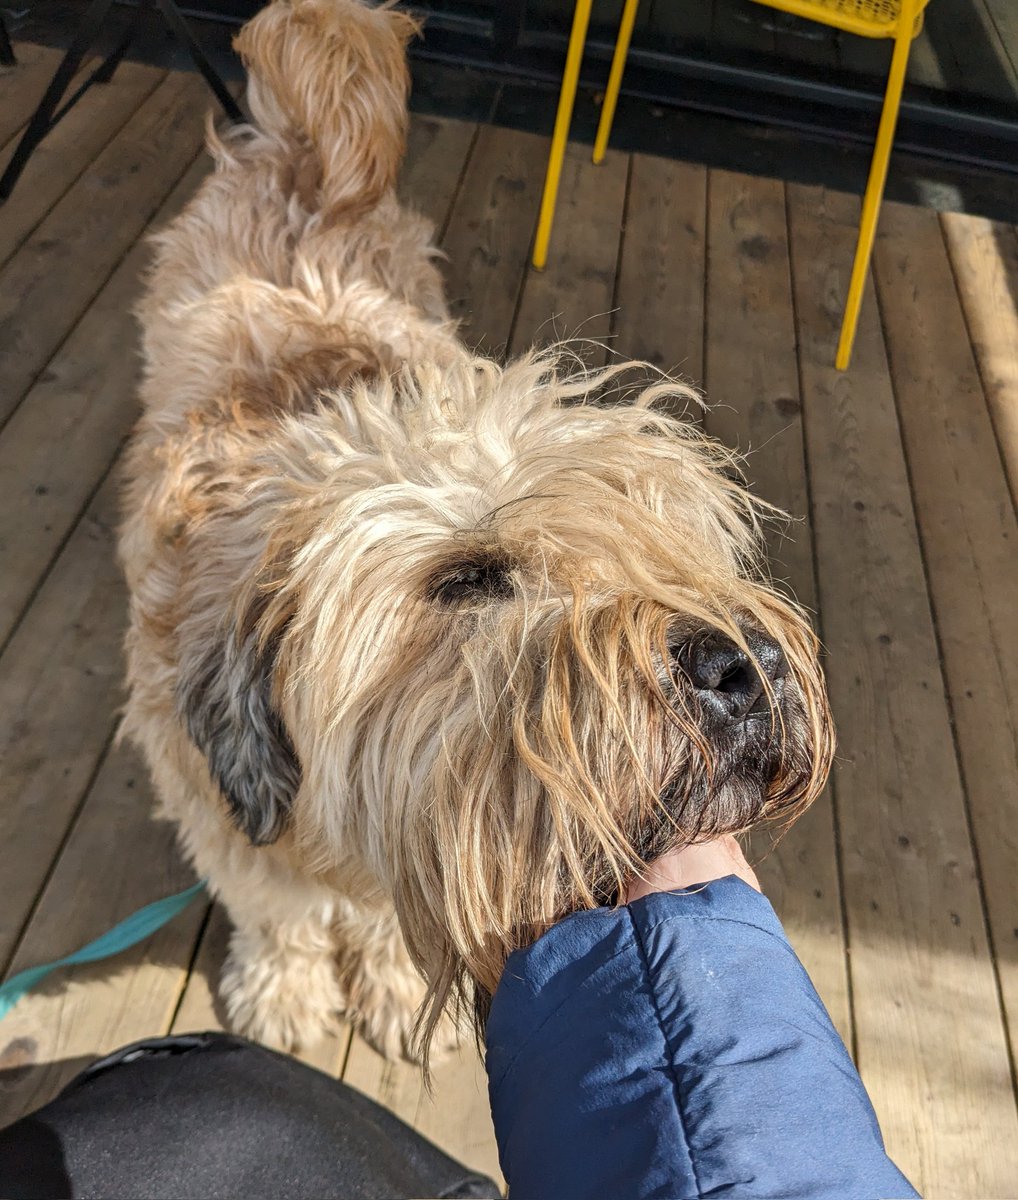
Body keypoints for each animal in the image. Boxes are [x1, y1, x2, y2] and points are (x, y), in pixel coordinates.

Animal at [119, 0, 835, 1060]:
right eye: (466, 580)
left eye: (660, 539)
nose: (743, 668)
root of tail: (303, 160)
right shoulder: (229, 830)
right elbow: (279, 916)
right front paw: (286, 991)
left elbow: (375, 922)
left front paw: (381, 981)